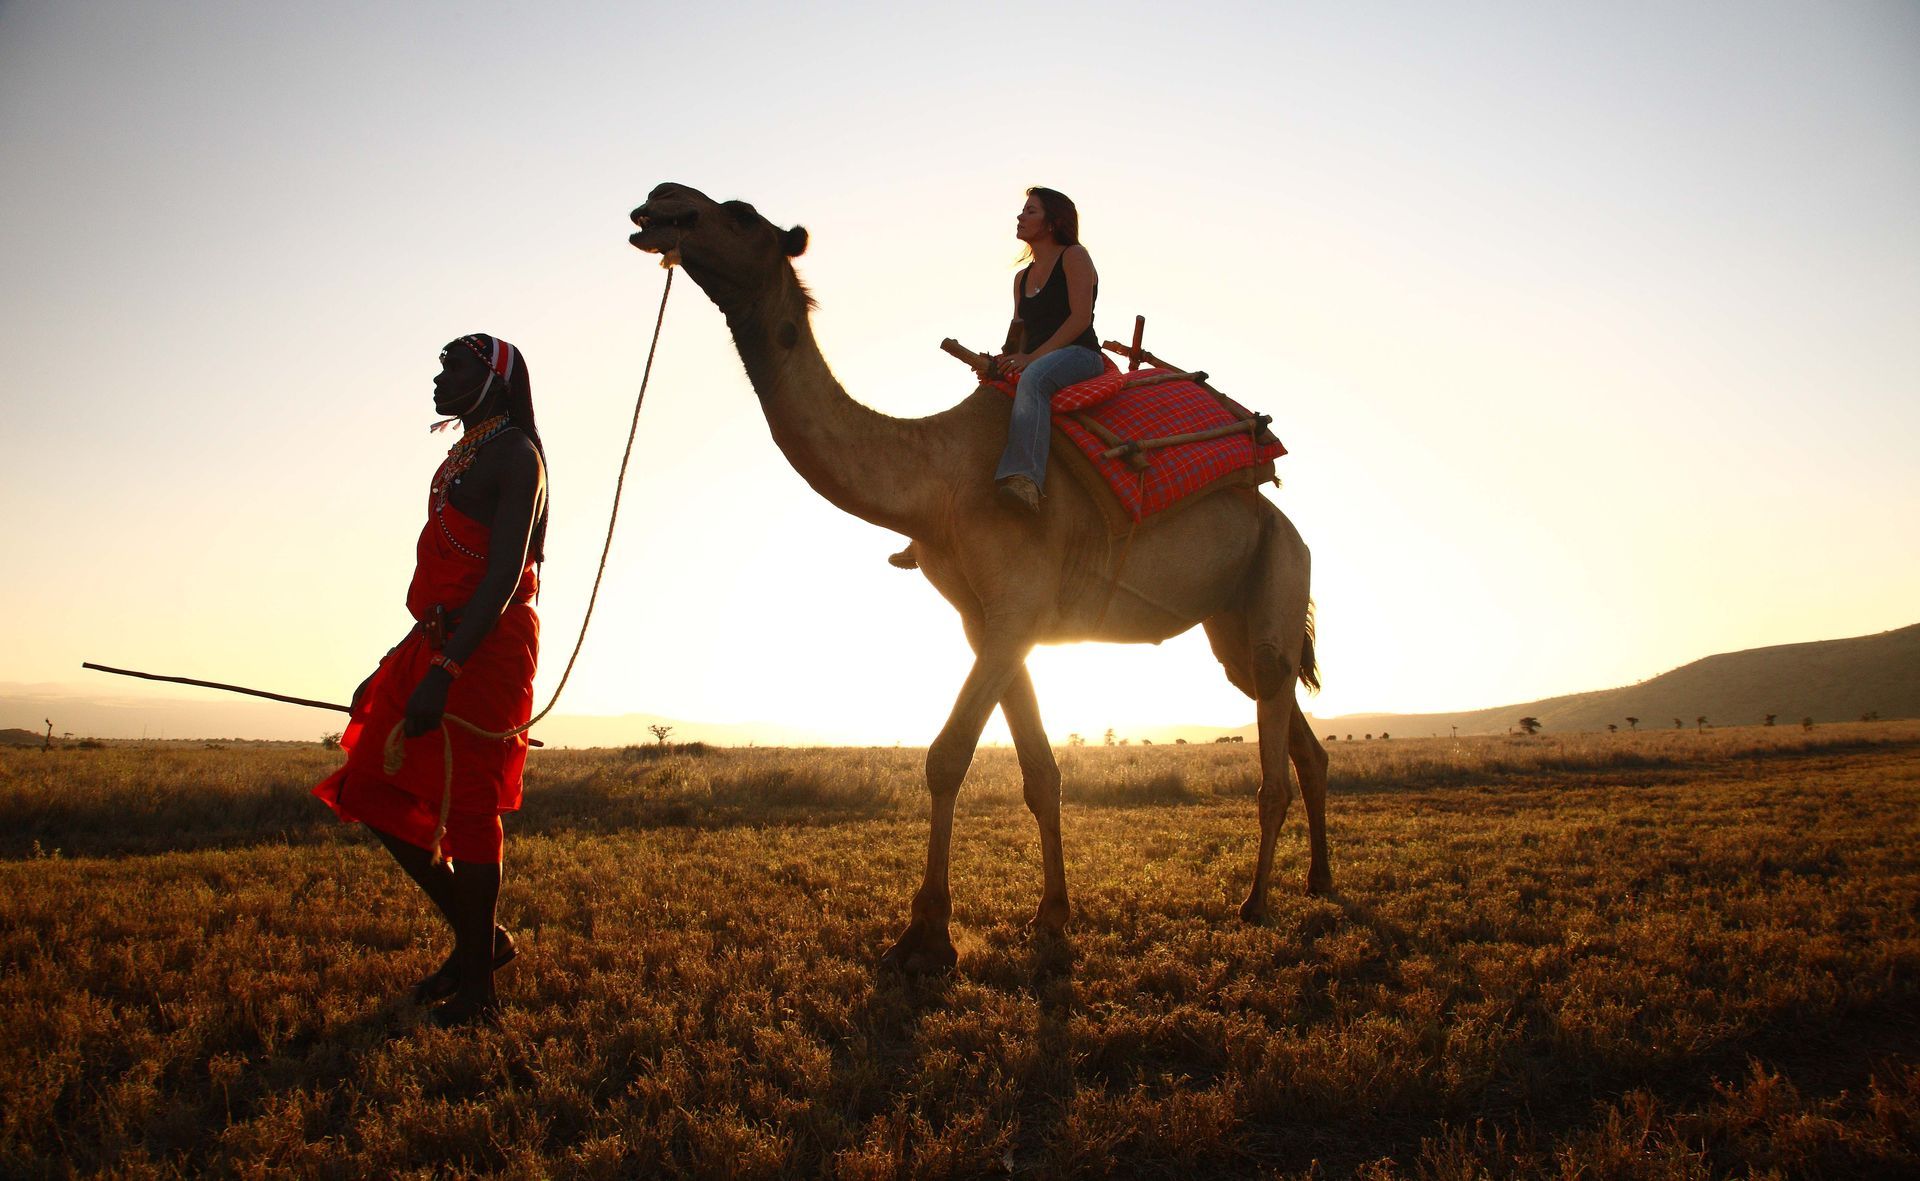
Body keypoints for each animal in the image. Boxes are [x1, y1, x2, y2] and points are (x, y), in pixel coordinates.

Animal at [629, 183, 1330, 971]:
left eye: (742, 213)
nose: (659, 201)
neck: (937, 481)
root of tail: (1288, 523)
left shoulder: (1015, 609)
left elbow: (948, 757)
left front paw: (926, 933)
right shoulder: (988, 620)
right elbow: (1041, 774)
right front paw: (1051, 915)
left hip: (1278, 570)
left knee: (1275, 748)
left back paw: (1257, 901)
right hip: (1231, 618)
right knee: (1298, 733)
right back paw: (1320, 881)